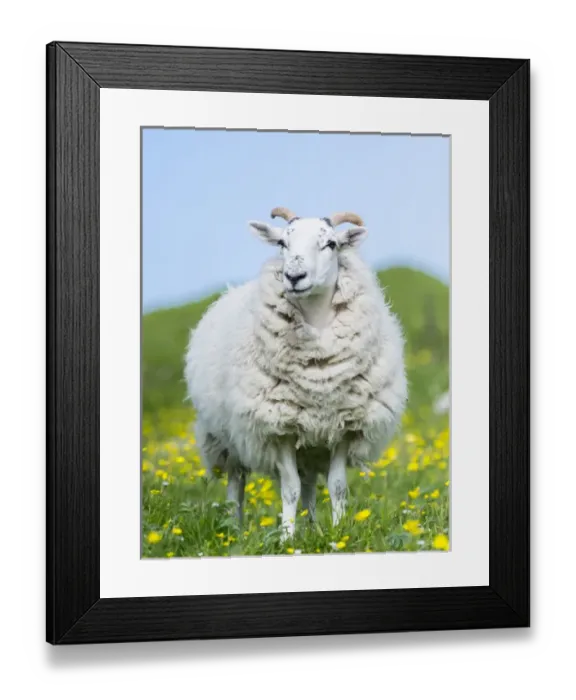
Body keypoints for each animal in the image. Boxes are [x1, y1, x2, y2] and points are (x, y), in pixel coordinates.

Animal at [184, 207, 408, 540]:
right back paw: (235, 530)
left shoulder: (344, 428)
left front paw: (338, 532)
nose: (293, 276)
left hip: (311, 445)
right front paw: (286, 537)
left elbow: (336, 487)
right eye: (282, 243)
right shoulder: (279, 429)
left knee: (309, 487)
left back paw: (314, 527)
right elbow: (289, 489)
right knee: (237, 484)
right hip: (227, 438)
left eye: (331, 243)